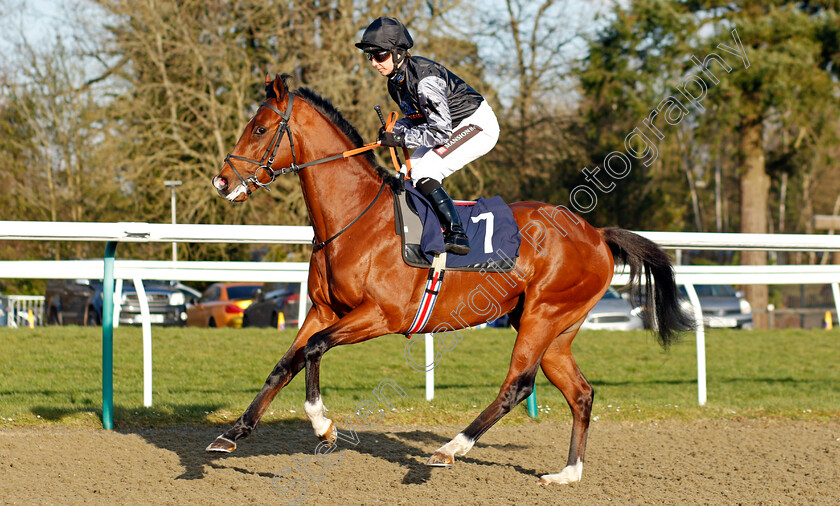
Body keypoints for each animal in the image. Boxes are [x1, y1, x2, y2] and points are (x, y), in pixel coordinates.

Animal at [208, 74, 688, 482]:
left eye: (261, 128)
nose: (222, 181)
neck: (354, 219)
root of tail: (597, 233)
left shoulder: (381, 316)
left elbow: (313, 350)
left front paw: (323, 423)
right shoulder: (324, 310)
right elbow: (284, 364)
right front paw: (232, 433)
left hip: (543, 315)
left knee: (517, 385)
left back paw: (449, 449)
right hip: (555, 328)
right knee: (581, 392)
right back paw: (568, 472)